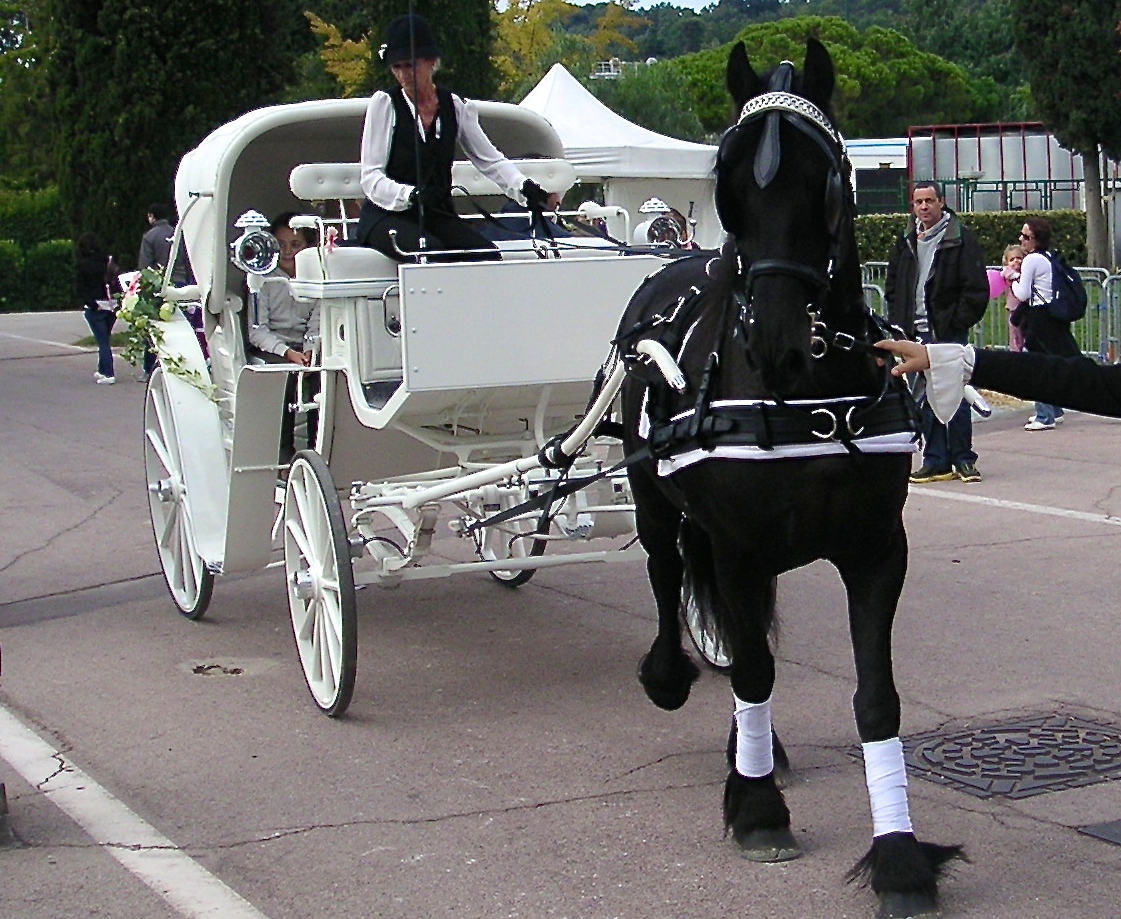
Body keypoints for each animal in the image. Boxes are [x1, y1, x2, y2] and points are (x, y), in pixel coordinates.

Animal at [618, 39, 959, 914]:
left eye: (826, 181)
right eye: (729, 183)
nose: (773, 338)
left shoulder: (876, 550)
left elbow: (874, 695)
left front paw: (898, 853)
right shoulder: (736, 546)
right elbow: (752, 665)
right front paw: (758, 808)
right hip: (652, 500)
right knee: (665, 574)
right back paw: (671, 678)